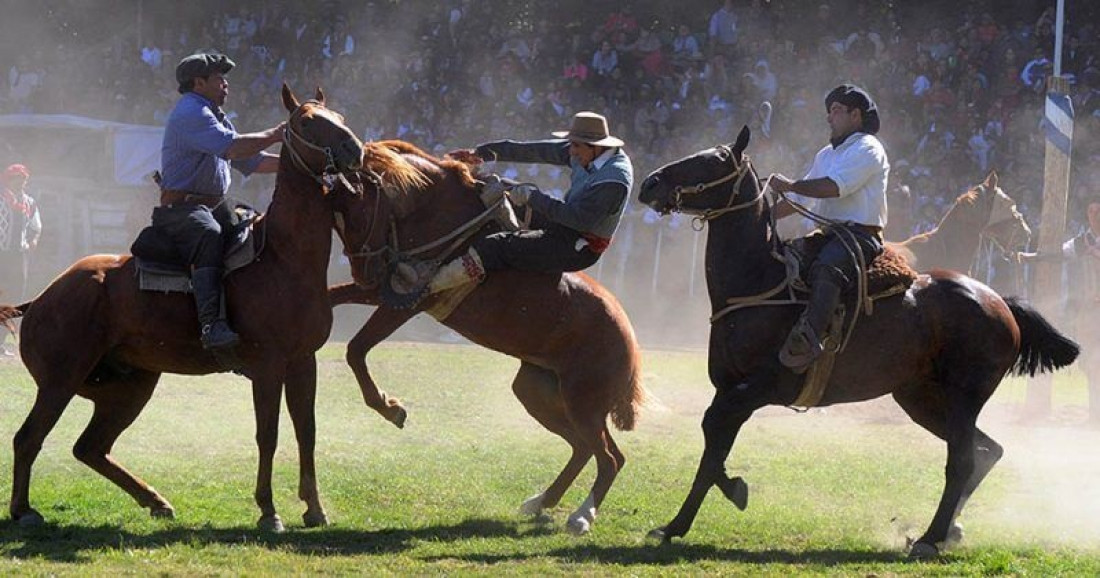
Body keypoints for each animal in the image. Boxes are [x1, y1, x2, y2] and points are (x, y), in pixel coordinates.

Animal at [1, 83, 369, 530]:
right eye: (307, 122)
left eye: (340, 117)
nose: (355, 149)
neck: (283, 256)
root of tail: (41, 297)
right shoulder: (268, 365)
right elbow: (268, 434)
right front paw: (268, 511)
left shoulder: (303, 361)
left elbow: (307, 431)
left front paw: (314, 508)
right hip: (60, 381)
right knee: (29, 438)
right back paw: (23, 510)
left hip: (130, 387)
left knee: (90, 447)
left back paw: (155, 500)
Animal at [321, 138, 642, 532]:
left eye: (359, 211)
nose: (367, 273)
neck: (433, 212)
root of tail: (629, 341)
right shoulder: (384, 289)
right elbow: (332, 301)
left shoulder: (407, 300)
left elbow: (356, 349)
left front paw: (390, 408)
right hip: (538, 392)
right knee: (583, 448)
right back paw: (540, 502)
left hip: (584, 402)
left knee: (610, 457)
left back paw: (581, 516)